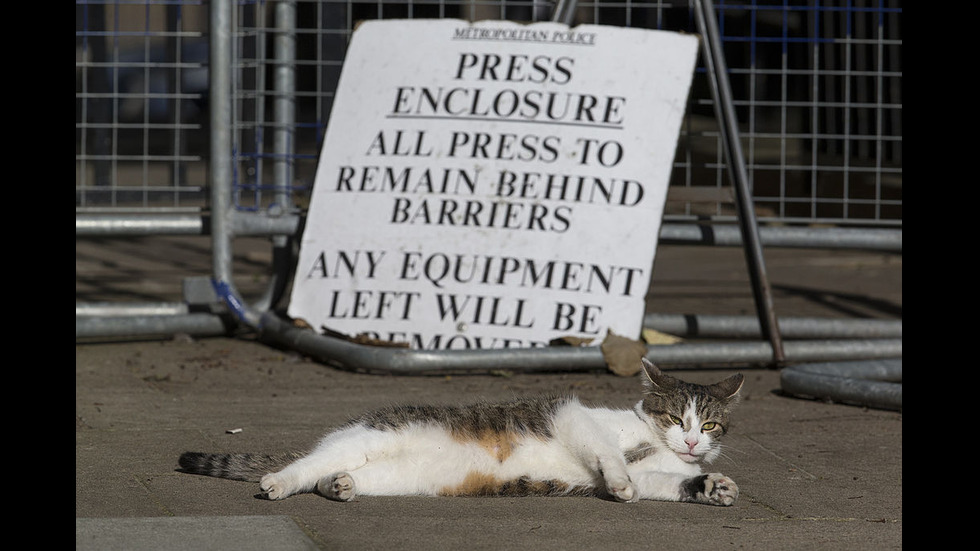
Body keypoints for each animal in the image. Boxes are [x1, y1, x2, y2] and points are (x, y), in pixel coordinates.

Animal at [178, 360, 744, 506]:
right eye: (675, 418)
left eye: (709, 423)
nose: (692, 441)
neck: (651, 440)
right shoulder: (573, 416)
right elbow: (612, 457)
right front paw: (622, 480)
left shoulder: (662, 473)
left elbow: (665, 483)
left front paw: (711, 486)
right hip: (369, 436)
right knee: (304, 465)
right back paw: (278, 481)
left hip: (402, 476)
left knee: (333, 475)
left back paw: (341, 485)